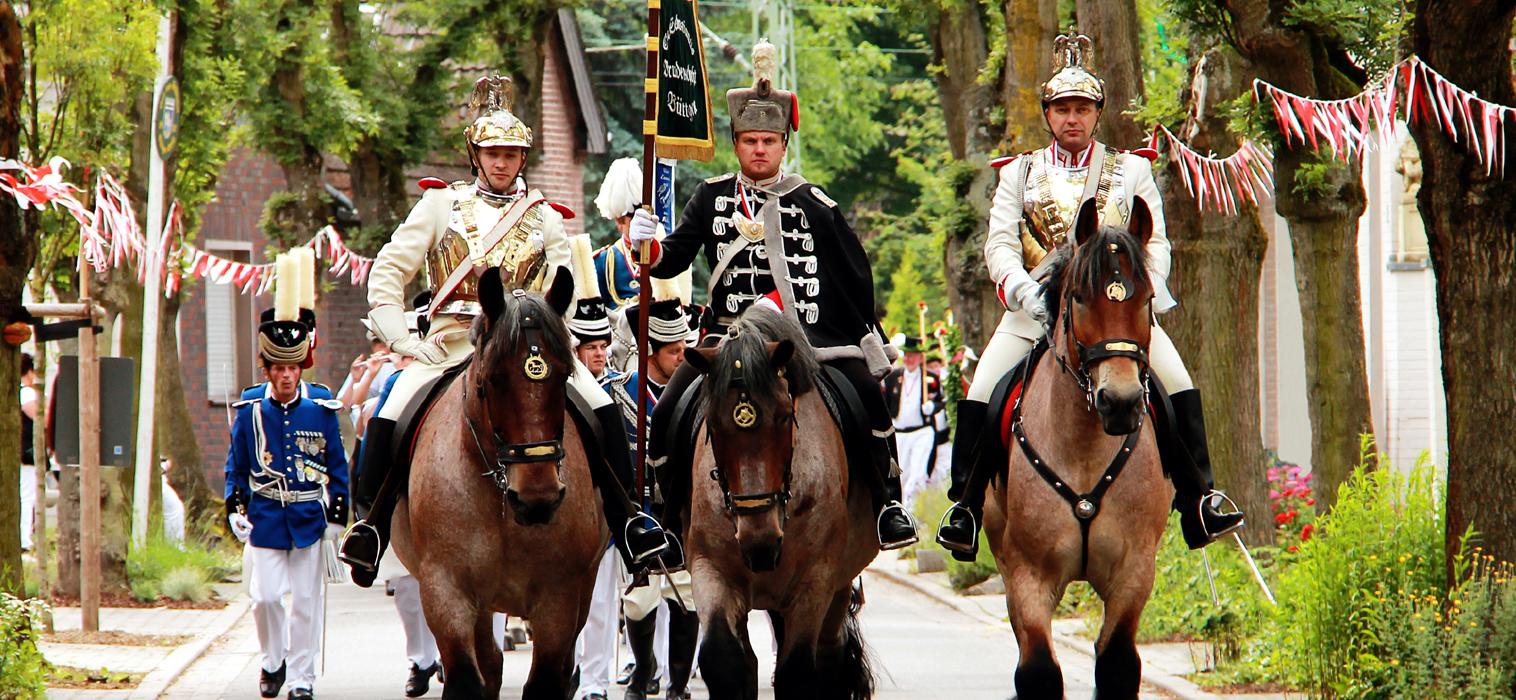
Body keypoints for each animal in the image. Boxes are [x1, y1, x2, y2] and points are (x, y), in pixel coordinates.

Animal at [388, 269, 606, 700]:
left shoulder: (559, 595)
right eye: (493, 379)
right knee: (489, 663)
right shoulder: (445, 590)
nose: (537, 499)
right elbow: (466, 679)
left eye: (564, 374)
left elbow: (546, 681)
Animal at [679, 312, 879, 700]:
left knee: (829, 655)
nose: (760, 541)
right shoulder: (711, 569)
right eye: (713, 422)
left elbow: (797, 671)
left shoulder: (815, 580)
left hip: (836, 586)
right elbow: (723, 660)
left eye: (785, 416)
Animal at [982, 198, 1170, 700]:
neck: (1085, 448)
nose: (1120, 402)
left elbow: (1117, 663)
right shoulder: (1028, 574)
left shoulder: (1133, 571)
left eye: (1147, 299)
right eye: (1081, 297)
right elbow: (1039, 670)